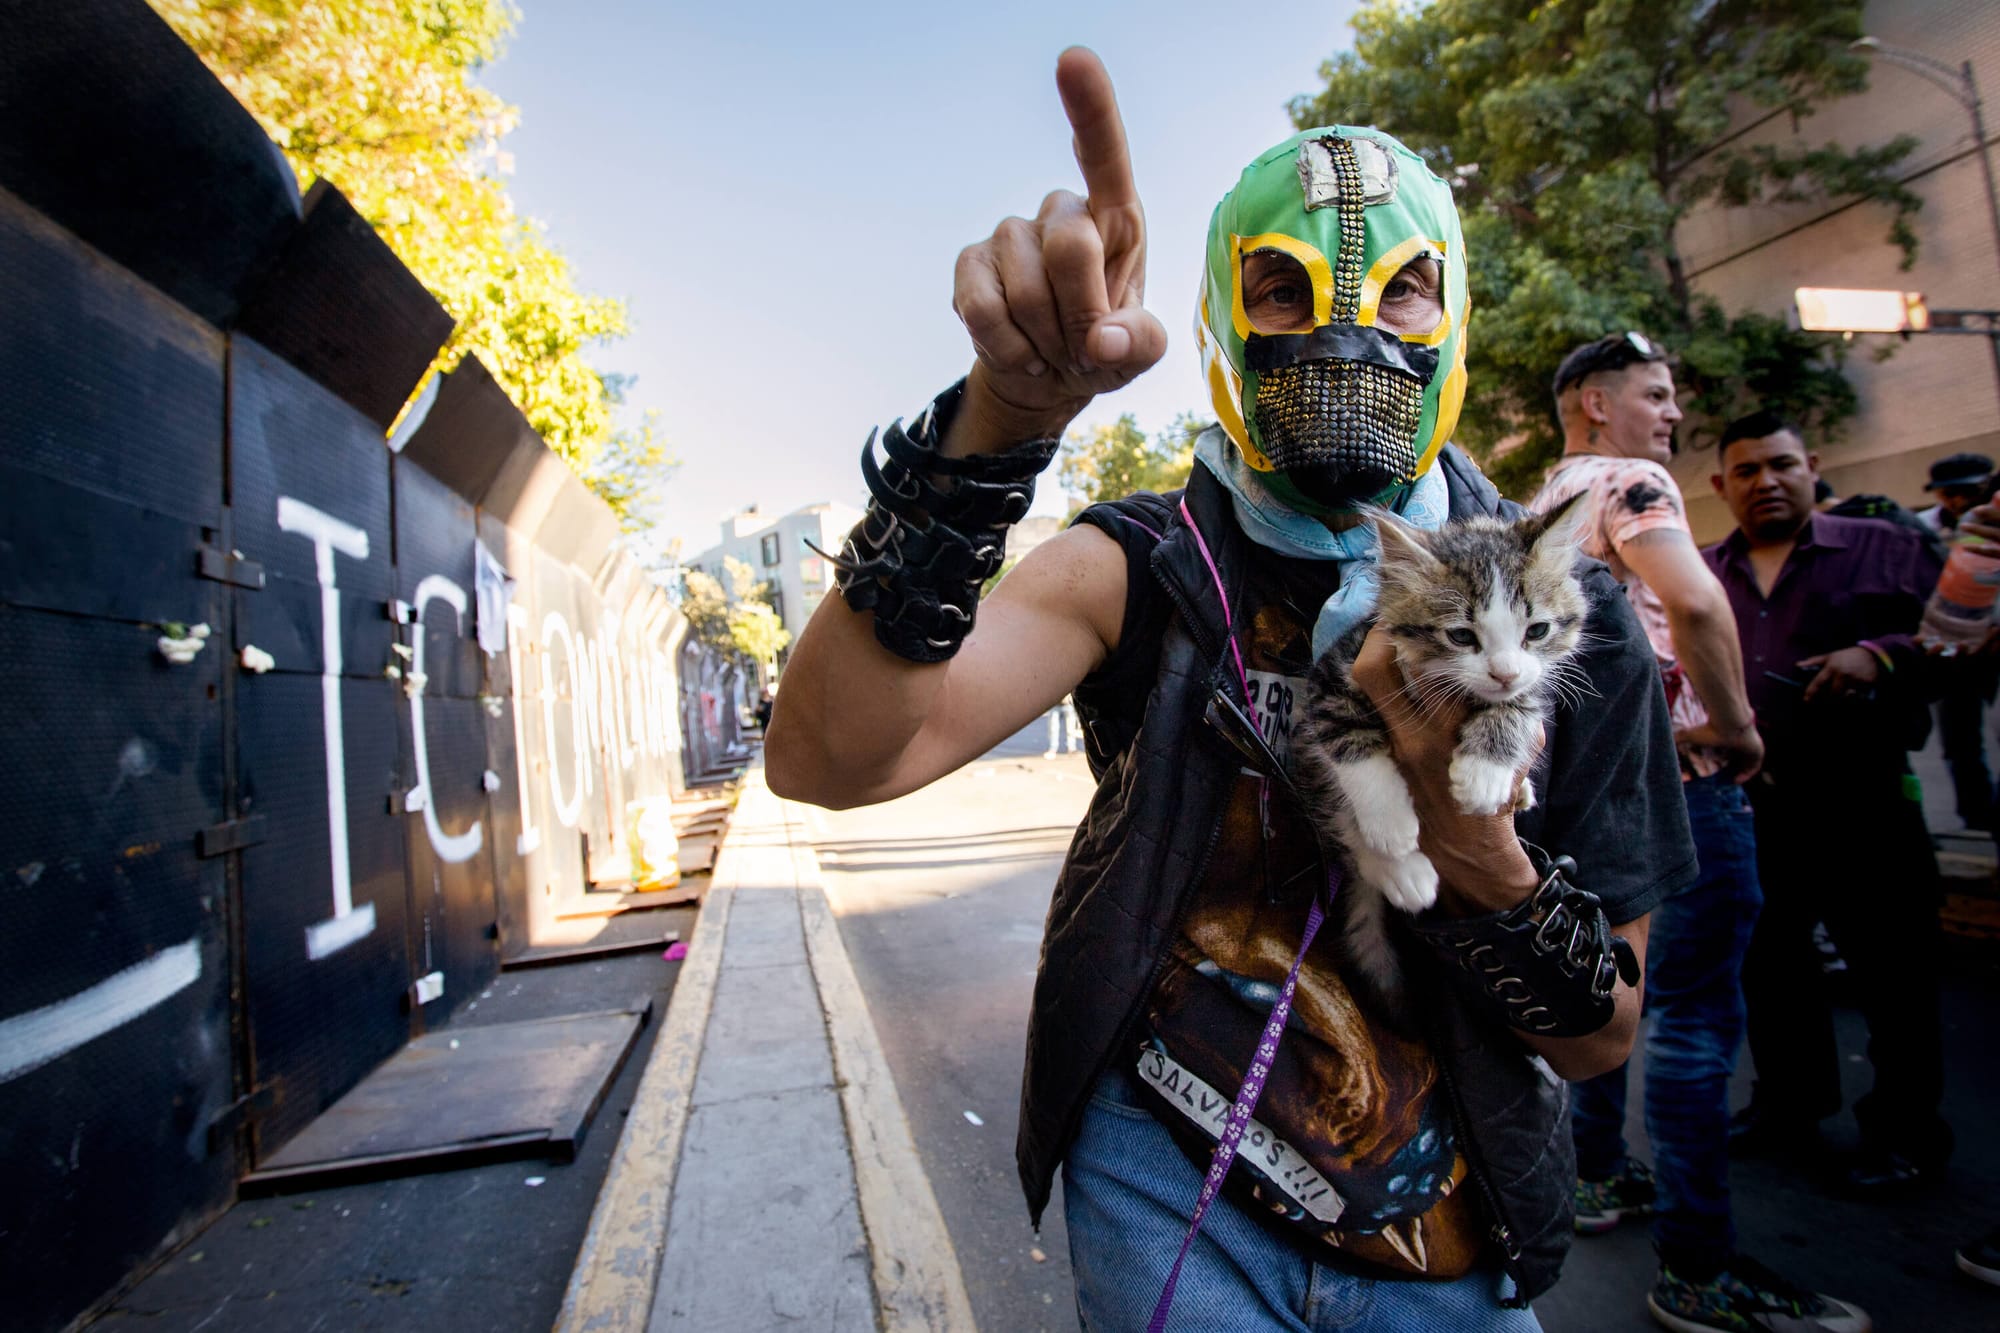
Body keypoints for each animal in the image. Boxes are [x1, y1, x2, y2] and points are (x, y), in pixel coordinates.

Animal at [1296, 492, 1592, 1000]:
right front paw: (1391, 823)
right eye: (1460, 635)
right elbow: (1350, 742)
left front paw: (1484, 775)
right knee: (1341, 825)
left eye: (1537, 631)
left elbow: (1518, 708)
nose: (1504, 672)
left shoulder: (1533, 684)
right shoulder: (1332, 680)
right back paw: (1403, 873)